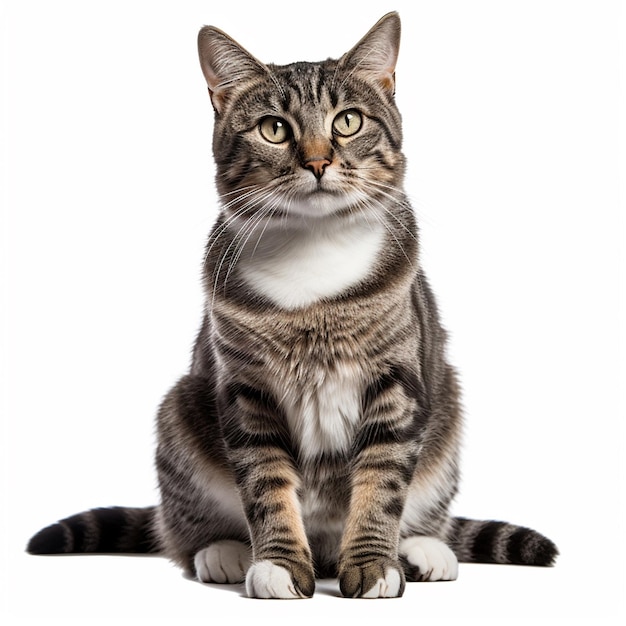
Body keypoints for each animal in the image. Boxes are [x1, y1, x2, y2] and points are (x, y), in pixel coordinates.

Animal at [28, 9, 556, 596]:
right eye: (274, 129)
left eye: (347, 122)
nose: (319, 162)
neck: (314, 263)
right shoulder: (246, 391)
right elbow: (266, 482)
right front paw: (278, 563)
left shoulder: (397, 383)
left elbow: (382, 482)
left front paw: (374, 563)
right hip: (179, 413)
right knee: (182, 532)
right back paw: (223, 551)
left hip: (449, 414)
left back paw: (422, 548)